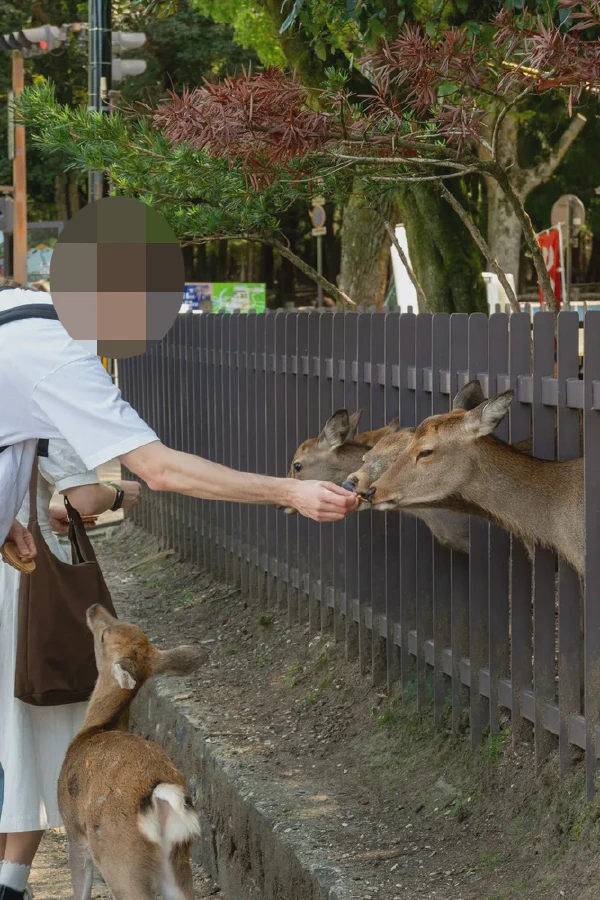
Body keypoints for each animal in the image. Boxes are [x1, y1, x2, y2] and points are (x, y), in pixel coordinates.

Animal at [58, 604, 208, 900]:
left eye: (104, 636)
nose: (94, 607)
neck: (95, 728)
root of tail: (161, 795)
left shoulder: (72, 827)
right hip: (176, 857)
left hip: (119, 858)